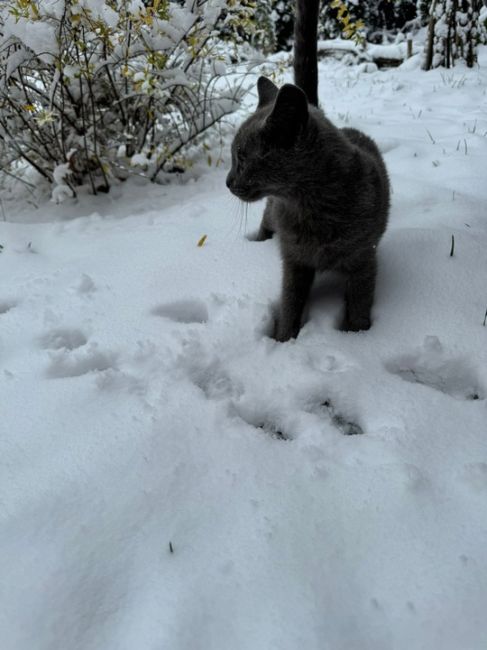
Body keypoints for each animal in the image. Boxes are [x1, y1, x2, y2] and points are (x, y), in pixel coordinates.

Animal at [227, 0, 390, 342]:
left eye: (241, 157)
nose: (227, 181)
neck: (311, 208)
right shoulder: (294, 262)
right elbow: (290, 303)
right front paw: (283, 340)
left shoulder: (364, 260)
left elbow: (359, 305)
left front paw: (359, 338)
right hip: (270, 214)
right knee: (266, 225)